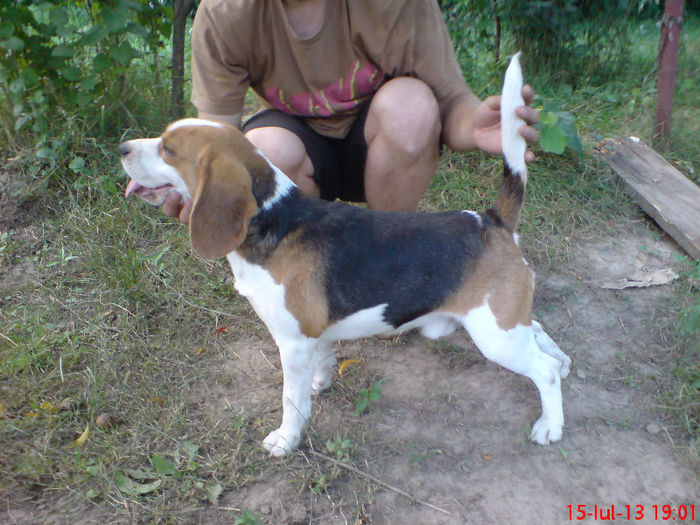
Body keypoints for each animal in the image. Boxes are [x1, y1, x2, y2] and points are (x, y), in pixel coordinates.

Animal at [120, 54, 568, 454]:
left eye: (168, 150)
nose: (123, 147)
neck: (274, 218)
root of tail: (491, 220)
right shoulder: (312, 335)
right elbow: (321, 361)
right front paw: (321, 383)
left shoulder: (292, 342)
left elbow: (290, 400)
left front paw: (286, 439)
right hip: (506, 321)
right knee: (541, 335)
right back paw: (562, 365)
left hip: (495, 334)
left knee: (543, 373)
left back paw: (550, 425)